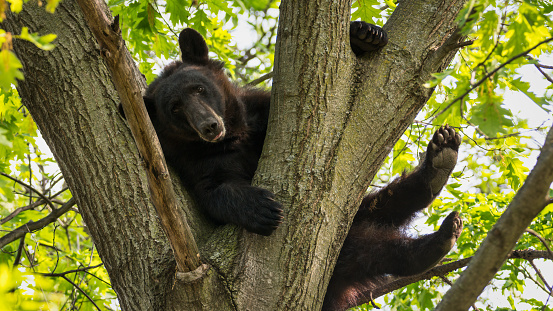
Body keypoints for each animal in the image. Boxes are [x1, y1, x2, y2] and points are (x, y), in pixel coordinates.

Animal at [132, 22, 464, 311]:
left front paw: (365, 34)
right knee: (367, 247)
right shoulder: (198, 163)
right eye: (175, 108)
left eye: (199, 89)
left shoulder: (261, 112)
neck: (235, 135)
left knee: (383, 206)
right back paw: (436, 241)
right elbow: (215, 192)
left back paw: (439, 162)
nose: (210, 126)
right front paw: (261, 208)